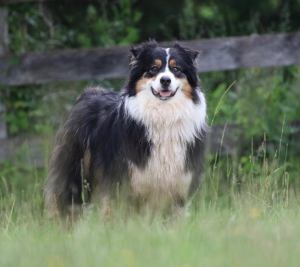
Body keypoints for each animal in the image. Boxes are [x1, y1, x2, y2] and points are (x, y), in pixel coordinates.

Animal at [44, 40, 207, 219]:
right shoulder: (123, 180)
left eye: (176, 69)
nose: (165, 80)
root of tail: (90, 92)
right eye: (153, 68)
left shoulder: (179, 184)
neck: (164, 115)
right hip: (74, 169)